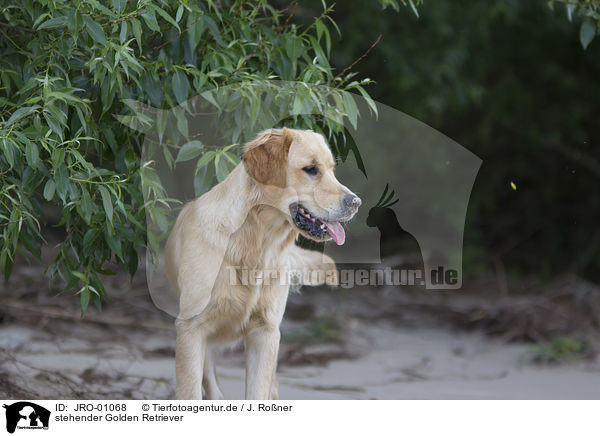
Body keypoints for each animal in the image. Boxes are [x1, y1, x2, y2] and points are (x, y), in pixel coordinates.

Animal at [164, 127, 360, 400]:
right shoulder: (190, 328)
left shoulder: (265, 332)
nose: (356, 203)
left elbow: (257, 393)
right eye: (311, 169)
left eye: (332, 169)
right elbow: (190, 392)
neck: (255, 243)